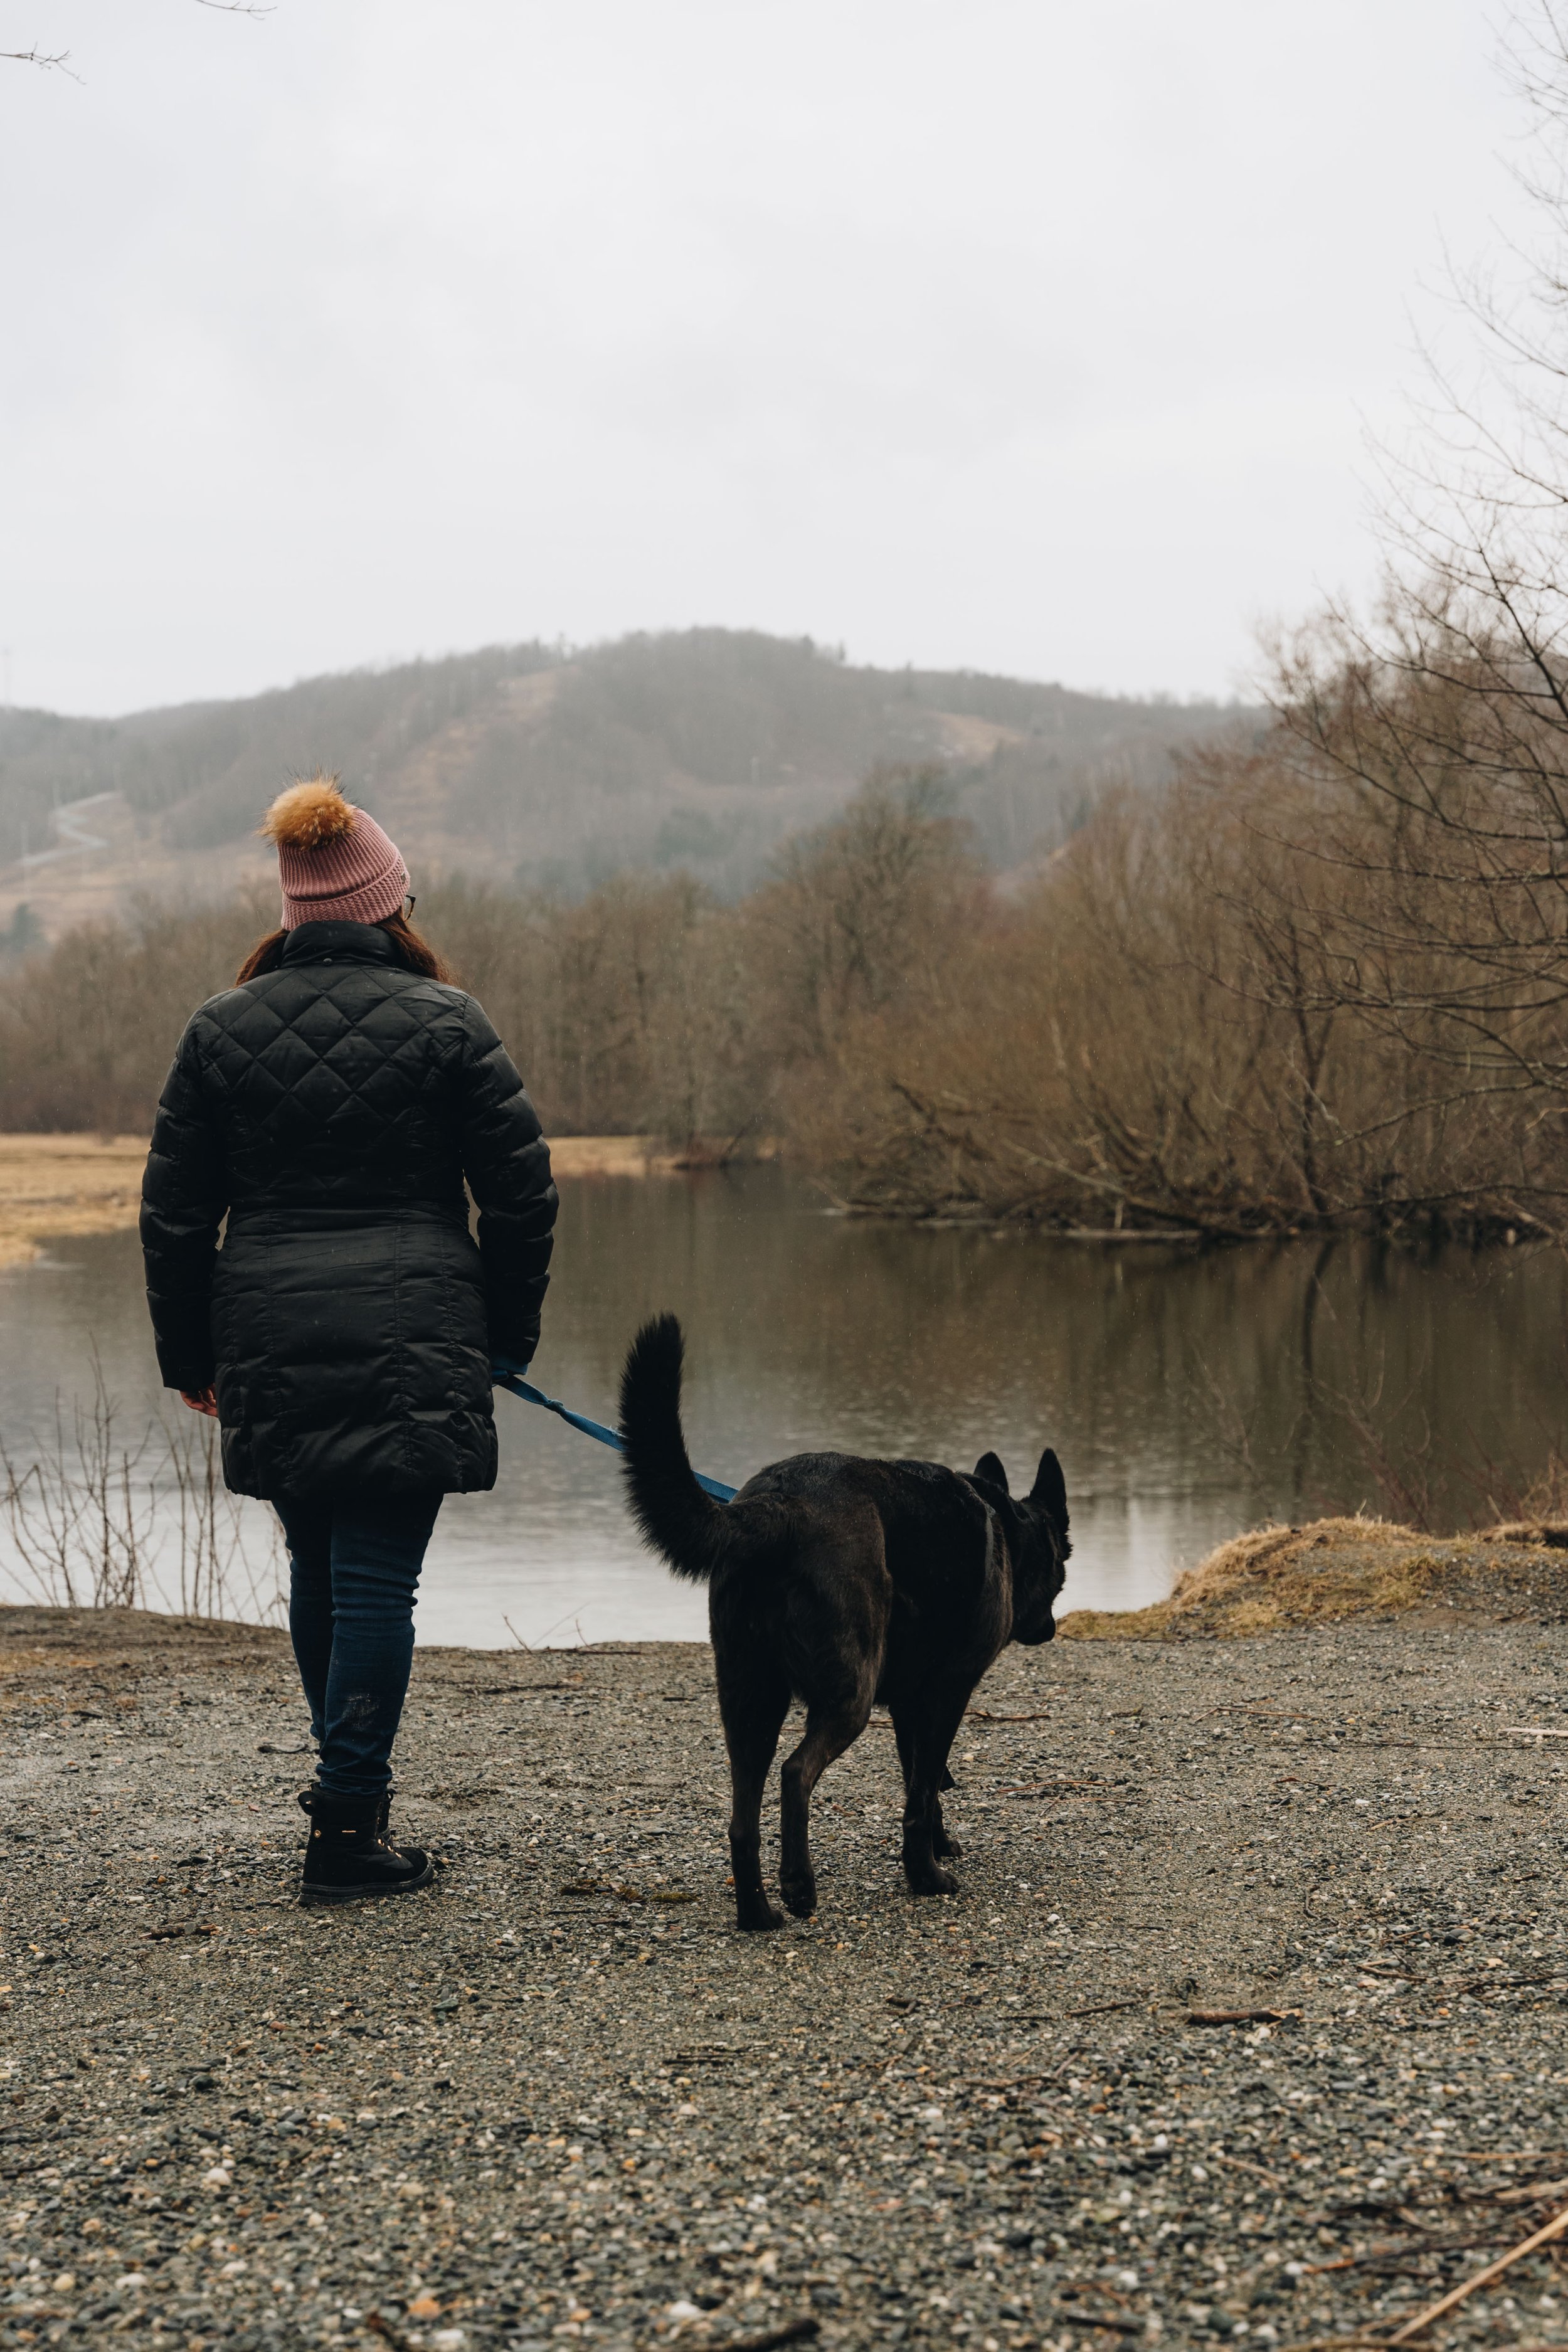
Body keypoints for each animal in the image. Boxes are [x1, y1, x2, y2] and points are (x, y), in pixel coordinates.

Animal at [620, 1317, 1072, 1938]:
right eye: (1061, 1568)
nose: (1049, 1629)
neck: (1005, 1526)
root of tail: (780, 1507)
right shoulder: (946, 1695)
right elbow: (923, 1791)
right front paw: (927, 1876)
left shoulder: (908, 1706)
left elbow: (919, 1785)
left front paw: (937, 1848)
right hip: (847, 1694)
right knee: (795, 1774)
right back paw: (798, 1886)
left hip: (749, 1701)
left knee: (743, 1818)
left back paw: (758, 1913)